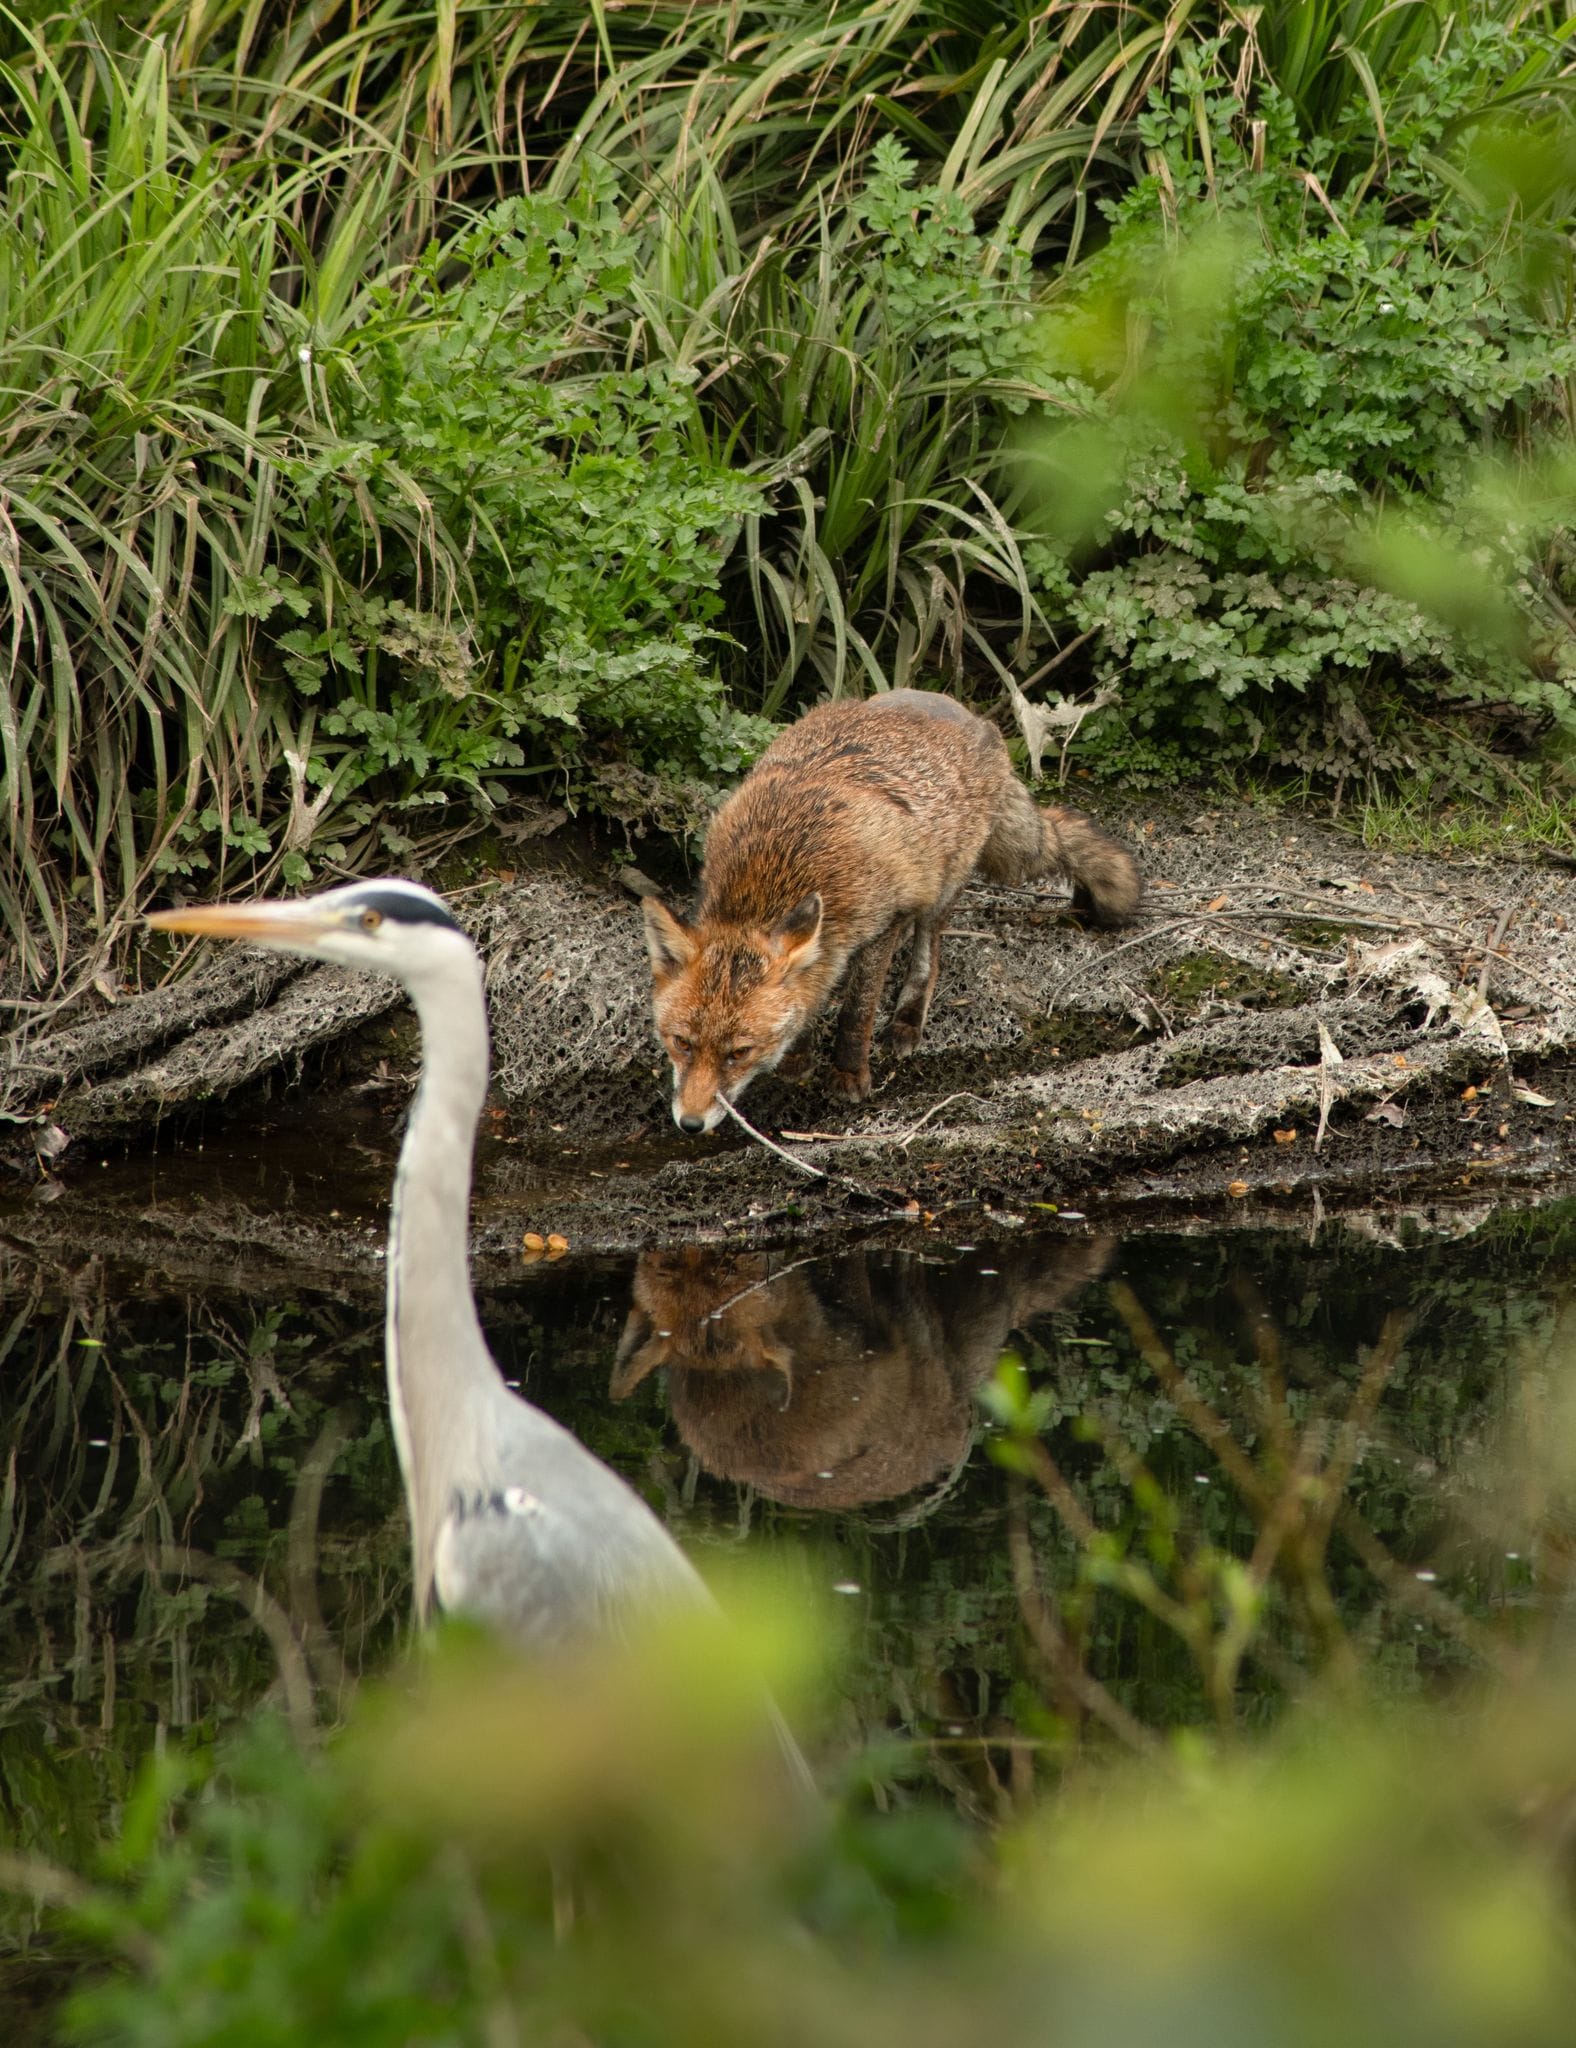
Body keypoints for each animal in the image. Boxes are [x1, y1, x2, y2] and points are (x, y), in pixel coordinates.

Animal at [641, 689, 1141, 1133]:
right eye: (681, 1043)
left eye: (738, 1052)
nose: (690, 1124)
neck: (775, 873)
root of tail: (962, 709)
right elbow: (809, 999)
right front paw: (799, 1057)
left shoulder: (883, 921)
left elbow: (856, 1011)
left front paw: (848, 1075)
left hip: (941, 887)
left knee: (927, 956)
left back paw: (907, 1019)